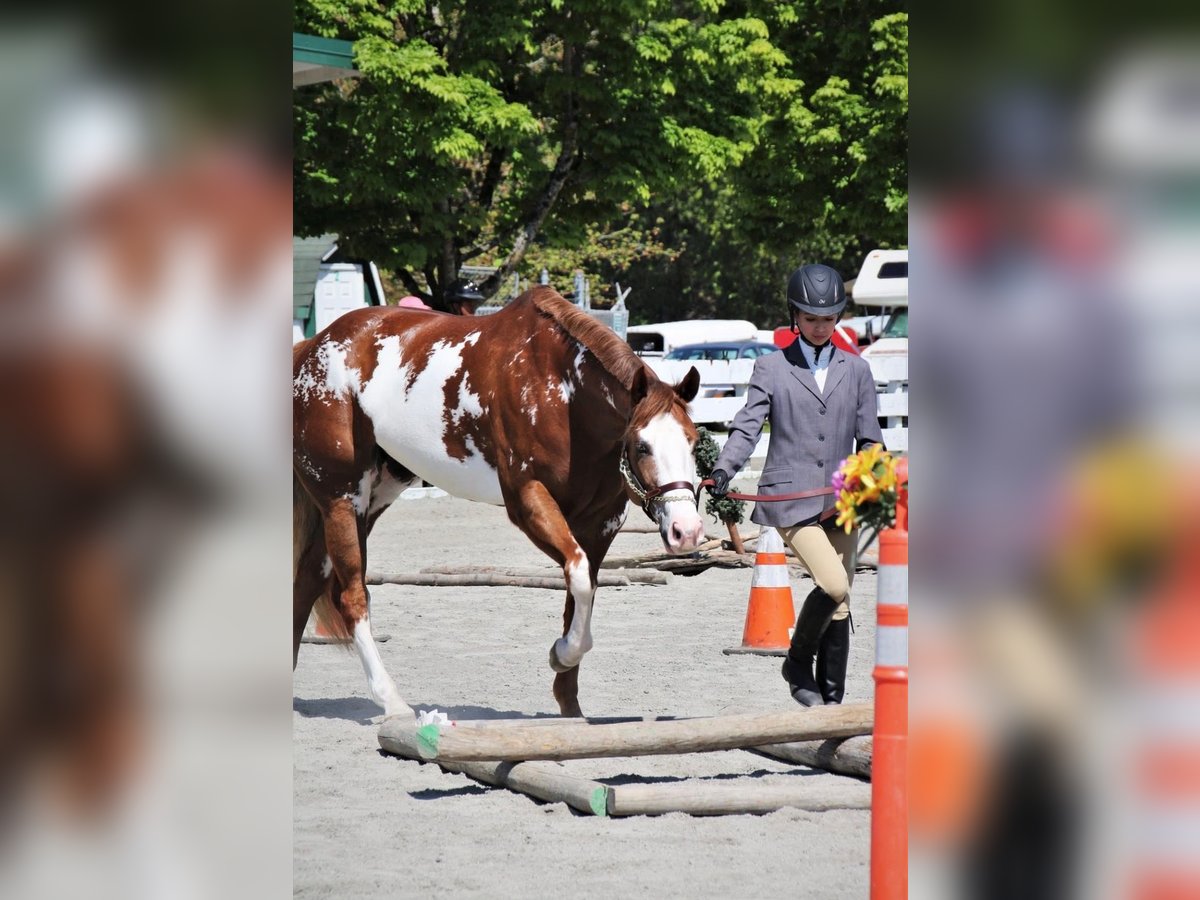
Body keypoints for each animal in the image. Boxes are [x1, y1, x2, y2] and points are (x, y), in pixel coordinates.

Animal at [293, 286, 704, 718]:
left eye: (695, 441)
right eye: (642, 446)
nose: (687, 531)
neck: (563, 394)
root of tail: (311, 348)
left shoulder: (599, 523)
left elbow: (581, 592)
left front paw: (569, 700)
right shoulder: (528, 500)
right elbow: (577, 576)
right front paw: (562, 654)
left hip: (371, 500)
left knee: (308, 580)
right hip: (341, 500)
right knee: (351, 596)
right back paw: (392, 701)